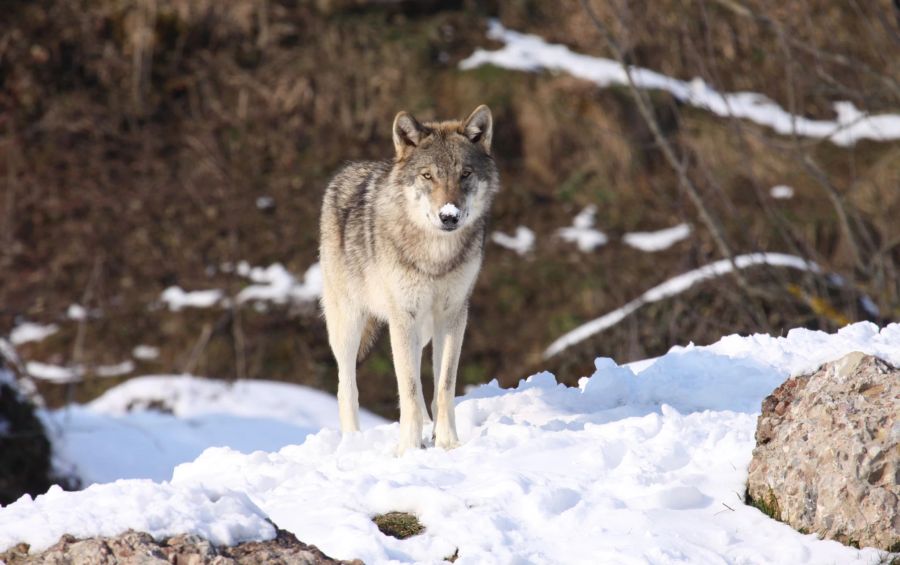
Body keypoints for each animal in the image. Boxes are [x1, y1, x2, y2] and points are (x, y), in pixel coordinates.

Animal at [318, 103, 500, 452]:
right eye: (428, 175)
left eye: (465, 174)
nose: (449, 216)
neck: (436, 256)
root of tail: (347, 171)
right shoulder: (404, 317)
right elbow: (411, 391)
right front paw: (409, 449)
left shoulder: (453, 316)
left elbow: (443, 386)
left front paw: (447, 442)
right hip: (349, 325)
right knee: (346, 388)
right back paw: (353, 442)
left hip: (424, 329)